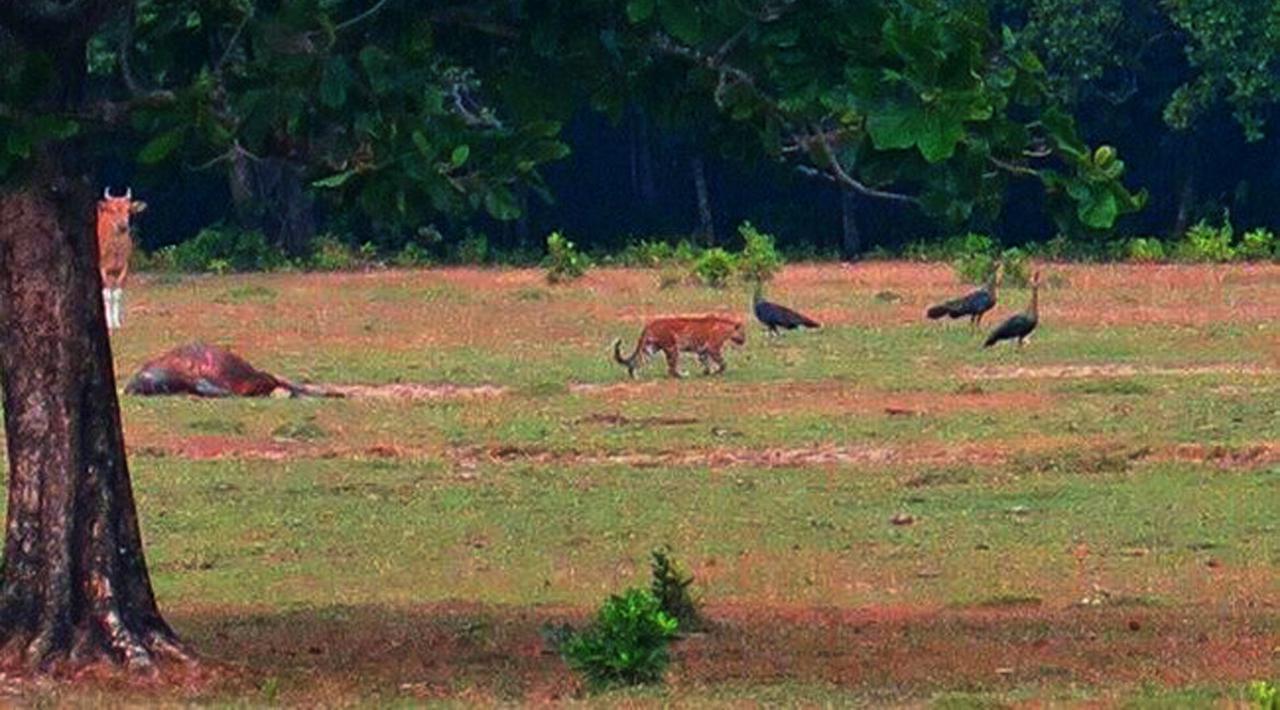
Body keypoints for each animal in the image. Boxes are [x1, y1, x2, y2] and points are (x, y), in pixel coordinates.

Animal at [96, 186, 144, 330]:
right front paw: (109, 323)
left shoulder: (123, 268)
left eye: (128, 209)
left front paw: (116, 322)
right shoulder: (101, 269)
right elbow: (107, 295)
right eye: (112, 210)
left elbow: (117, 294)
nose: (122, 226)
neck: (115, 252)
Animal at [611, 318, 747, 381]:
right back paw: (683, 375)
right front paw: (717, 372)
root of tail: (650, 324)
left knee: (637, 361)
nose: (744, 341)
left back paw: (635, 377)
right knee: (671, 369)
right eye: (743, 333)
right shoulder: (713, 348)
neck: (726, 328)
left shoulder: (703, 351)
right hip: (672, 348)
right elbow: (723, 363)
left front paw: (707, 372)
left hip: (649, 348)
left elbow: (706, 362)